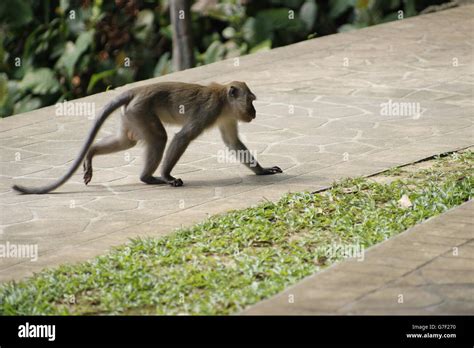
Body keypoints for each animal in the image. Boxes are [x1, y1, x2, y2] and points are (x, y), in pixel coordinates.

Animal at [12, 82, 282, 196]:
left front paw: (262, 170)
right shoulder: (210, 111)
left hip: (131, 115)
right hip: (141, 111)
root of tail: (136, 90)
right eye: (251, 100)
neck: (224, 100)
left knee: (127, 141)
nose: (254, 112)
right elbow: (182, 137)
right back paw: (149, 178)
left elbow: (233, 143)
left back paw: (91, 154)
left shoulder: (227, 116)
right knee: (160, 138)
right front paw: (168, 176)